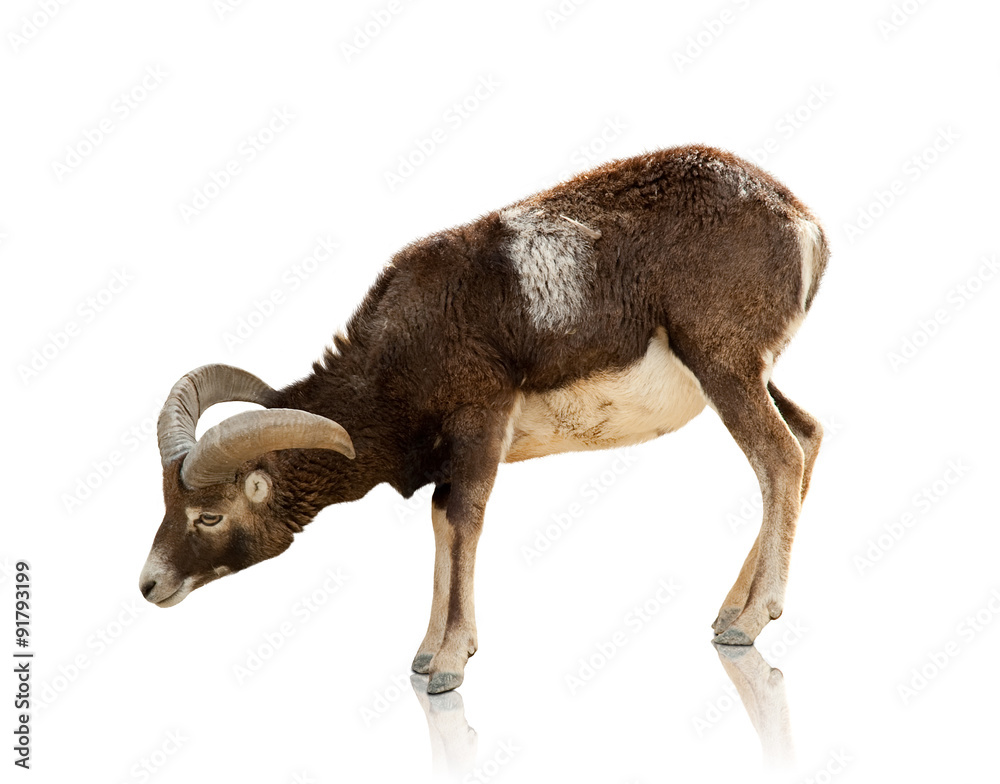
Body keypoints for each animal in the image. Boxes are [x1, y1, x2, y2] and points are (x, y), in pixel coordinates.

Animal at [140, 145, 828, 694]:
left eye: (209, 515)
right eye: (168, 504)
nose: (149, 585)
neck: (402, 345)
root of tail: (802, 223)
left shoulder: (479, 427)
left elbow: (465, 522)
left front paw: (448, 668)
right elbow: (443, 525)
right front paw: (425, 656)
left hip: (725, 370)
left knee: (778, 457)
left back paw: (748, 624)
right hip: (748, 376)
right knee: (806, 437)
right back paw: (729, 613)